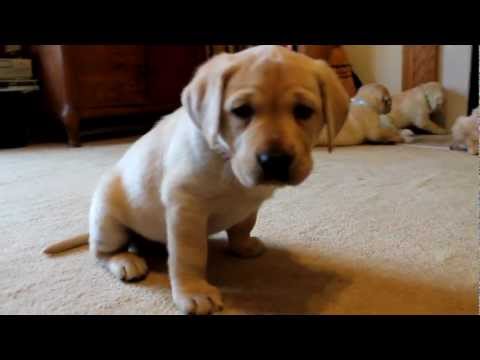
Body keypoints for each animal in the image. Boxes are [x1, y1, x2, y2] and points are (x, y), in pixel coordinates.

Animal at [42, 45, 348, 316]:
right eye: (242, 111)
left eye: (303, 111)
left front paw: (243, 246)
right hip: (108, 222)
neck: (226, 160)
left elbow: (243, 225)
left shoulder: (250, 204)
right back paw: (125, 261)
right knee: (101, 252)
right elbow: (189, 255)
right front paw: (194, 292)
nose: (274, 160)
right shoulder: (185, 207)